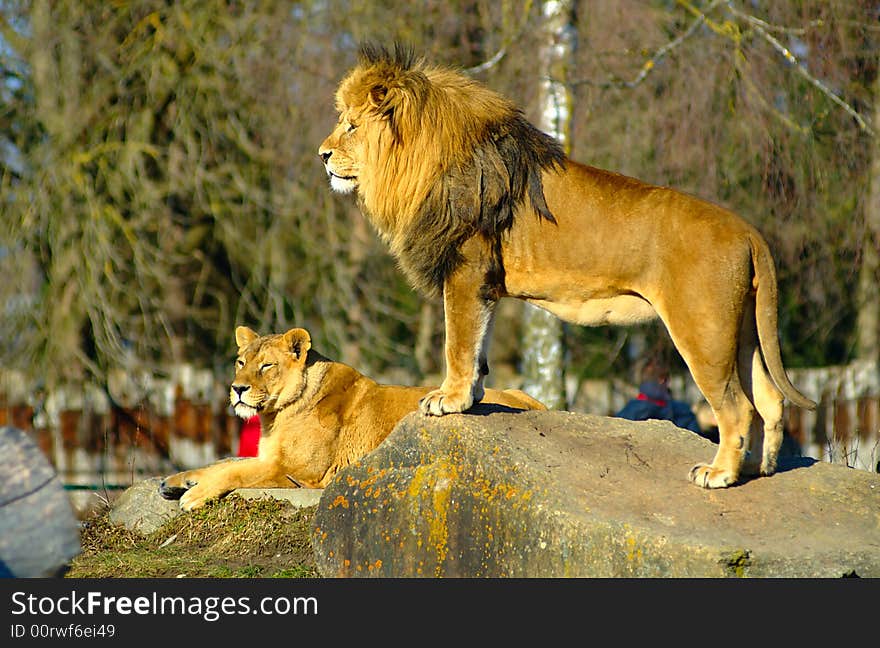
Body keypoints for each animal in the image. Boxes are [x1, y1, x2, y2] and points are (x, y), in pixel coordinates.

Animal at [158, 326, 544, 508]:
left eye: (266, 366)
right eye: (241, 362)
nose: (237, 388)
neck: (276, 415)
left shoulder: (298, 472)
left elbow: (234, 470)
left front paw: (194, 495)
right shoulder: (269, 457)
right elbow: (222, 463)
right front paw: (177, 481)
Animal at [318, 44, 820, 492]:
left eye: (351, 125)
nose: (321, 155)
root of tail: (748, 231)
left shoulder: (464, 269)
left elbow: (457, 342)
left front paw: (449, 399)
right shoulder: (483, 282)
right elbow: (479, 345)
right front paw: (473, 397)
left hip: (703, 331)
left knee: (738, 408)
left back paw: (719, 475)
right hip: (741, 332)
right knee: (771, 400)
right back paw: (757, 469)